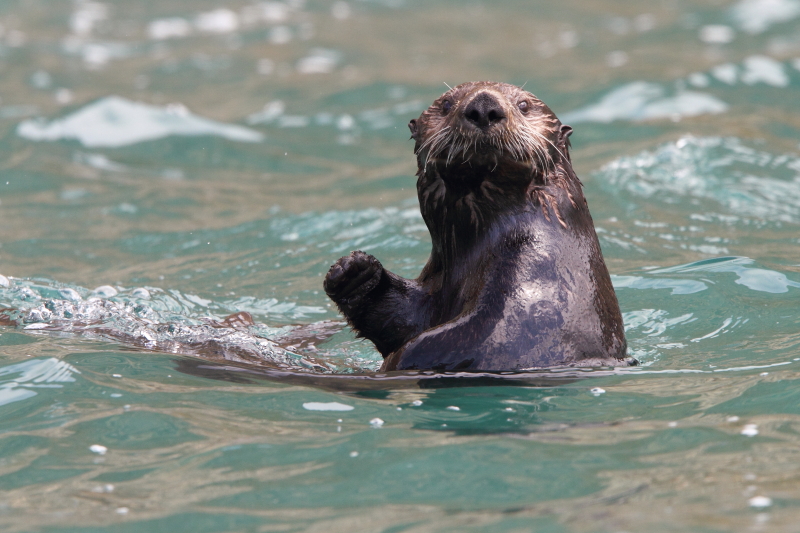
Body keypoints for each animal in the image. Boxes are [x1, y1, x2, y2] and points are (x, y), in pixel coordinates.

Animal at [320, 81, 632, 370]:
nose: (483, 106)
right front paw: (352, 271)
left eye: (524, 105)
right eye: (446, 104)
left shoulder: (530, 303)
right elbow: (400, 317)